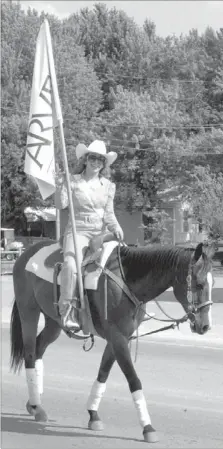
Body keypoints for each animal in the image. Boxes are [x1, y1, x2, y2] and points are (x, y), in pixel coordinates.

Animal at [10, 240, 214, 442]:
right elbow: (134, 380)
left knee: (39, 349)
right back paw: (37, 407)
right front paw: (147, 427)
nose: (205, 326)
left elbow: (103, 373)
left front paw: (93, 414)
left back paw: (34, 402)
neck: (127, 281)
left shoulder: (119, 338)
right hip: (29, 312)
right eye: (199, 284)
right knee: (30, 354)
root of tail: (25, 254)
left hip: (54, 323)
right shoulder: (118, 338)